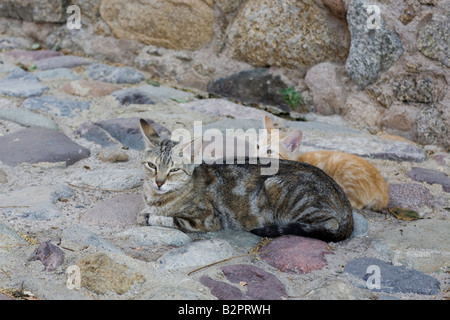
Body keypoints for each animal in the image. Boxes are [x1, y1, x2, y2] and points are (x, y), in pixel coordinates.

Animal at [135, 119, 354, 241]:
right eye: (152, 166)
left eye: (174, 170)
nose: (159, 182)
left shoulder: (207, 219)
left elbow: (166, 219)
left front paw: (147, 216)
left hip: (279, 188)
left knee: (328, 224)